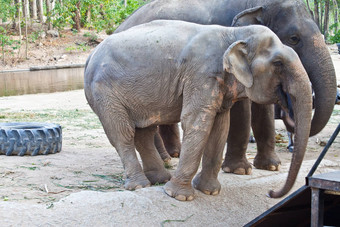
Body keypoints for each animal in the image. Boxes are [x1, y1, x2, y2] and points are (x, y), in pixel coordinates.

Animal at [83, 20, 312, 201]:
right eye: (278, 63)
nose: (271, 193)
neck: (234, 33)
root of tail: (89, 57)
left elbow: (220, 127)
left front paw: (209, 191)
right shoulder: (201, 75)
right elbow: (195, 122)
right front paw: (179, 196)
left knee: (144, 132)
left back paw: (159, 179)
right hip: (104, 93)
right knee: (123, 134)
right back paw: (141, 185)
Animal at [115, 0, 338, 175]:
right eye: (294, 38)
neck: (255, 3)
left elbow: (262, 108)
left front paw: (271, 166)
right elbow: (240, 106)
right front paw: (240, 170)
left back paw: (173, 155)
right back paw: (165, 159)